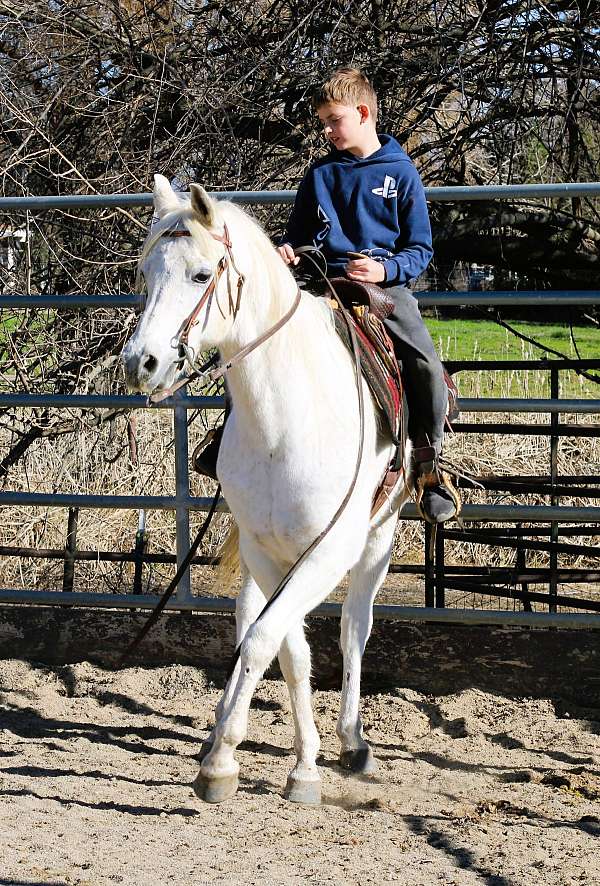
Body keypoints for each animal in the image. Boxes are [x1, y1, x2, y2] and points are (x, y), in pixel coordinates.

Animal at [123, 177, 410, 808]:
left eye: (201, 274)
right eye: (146, 274)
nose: (141, 363)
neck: (287, 417)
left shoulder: (327, 554)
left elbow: (269, 641)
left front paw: (259, 765)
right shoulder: (263, 548)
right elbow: (284, 647)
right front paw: (267, 759)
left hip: (379, 538)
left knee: (354, 626)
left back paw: (354, 742)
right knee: (250, 614)